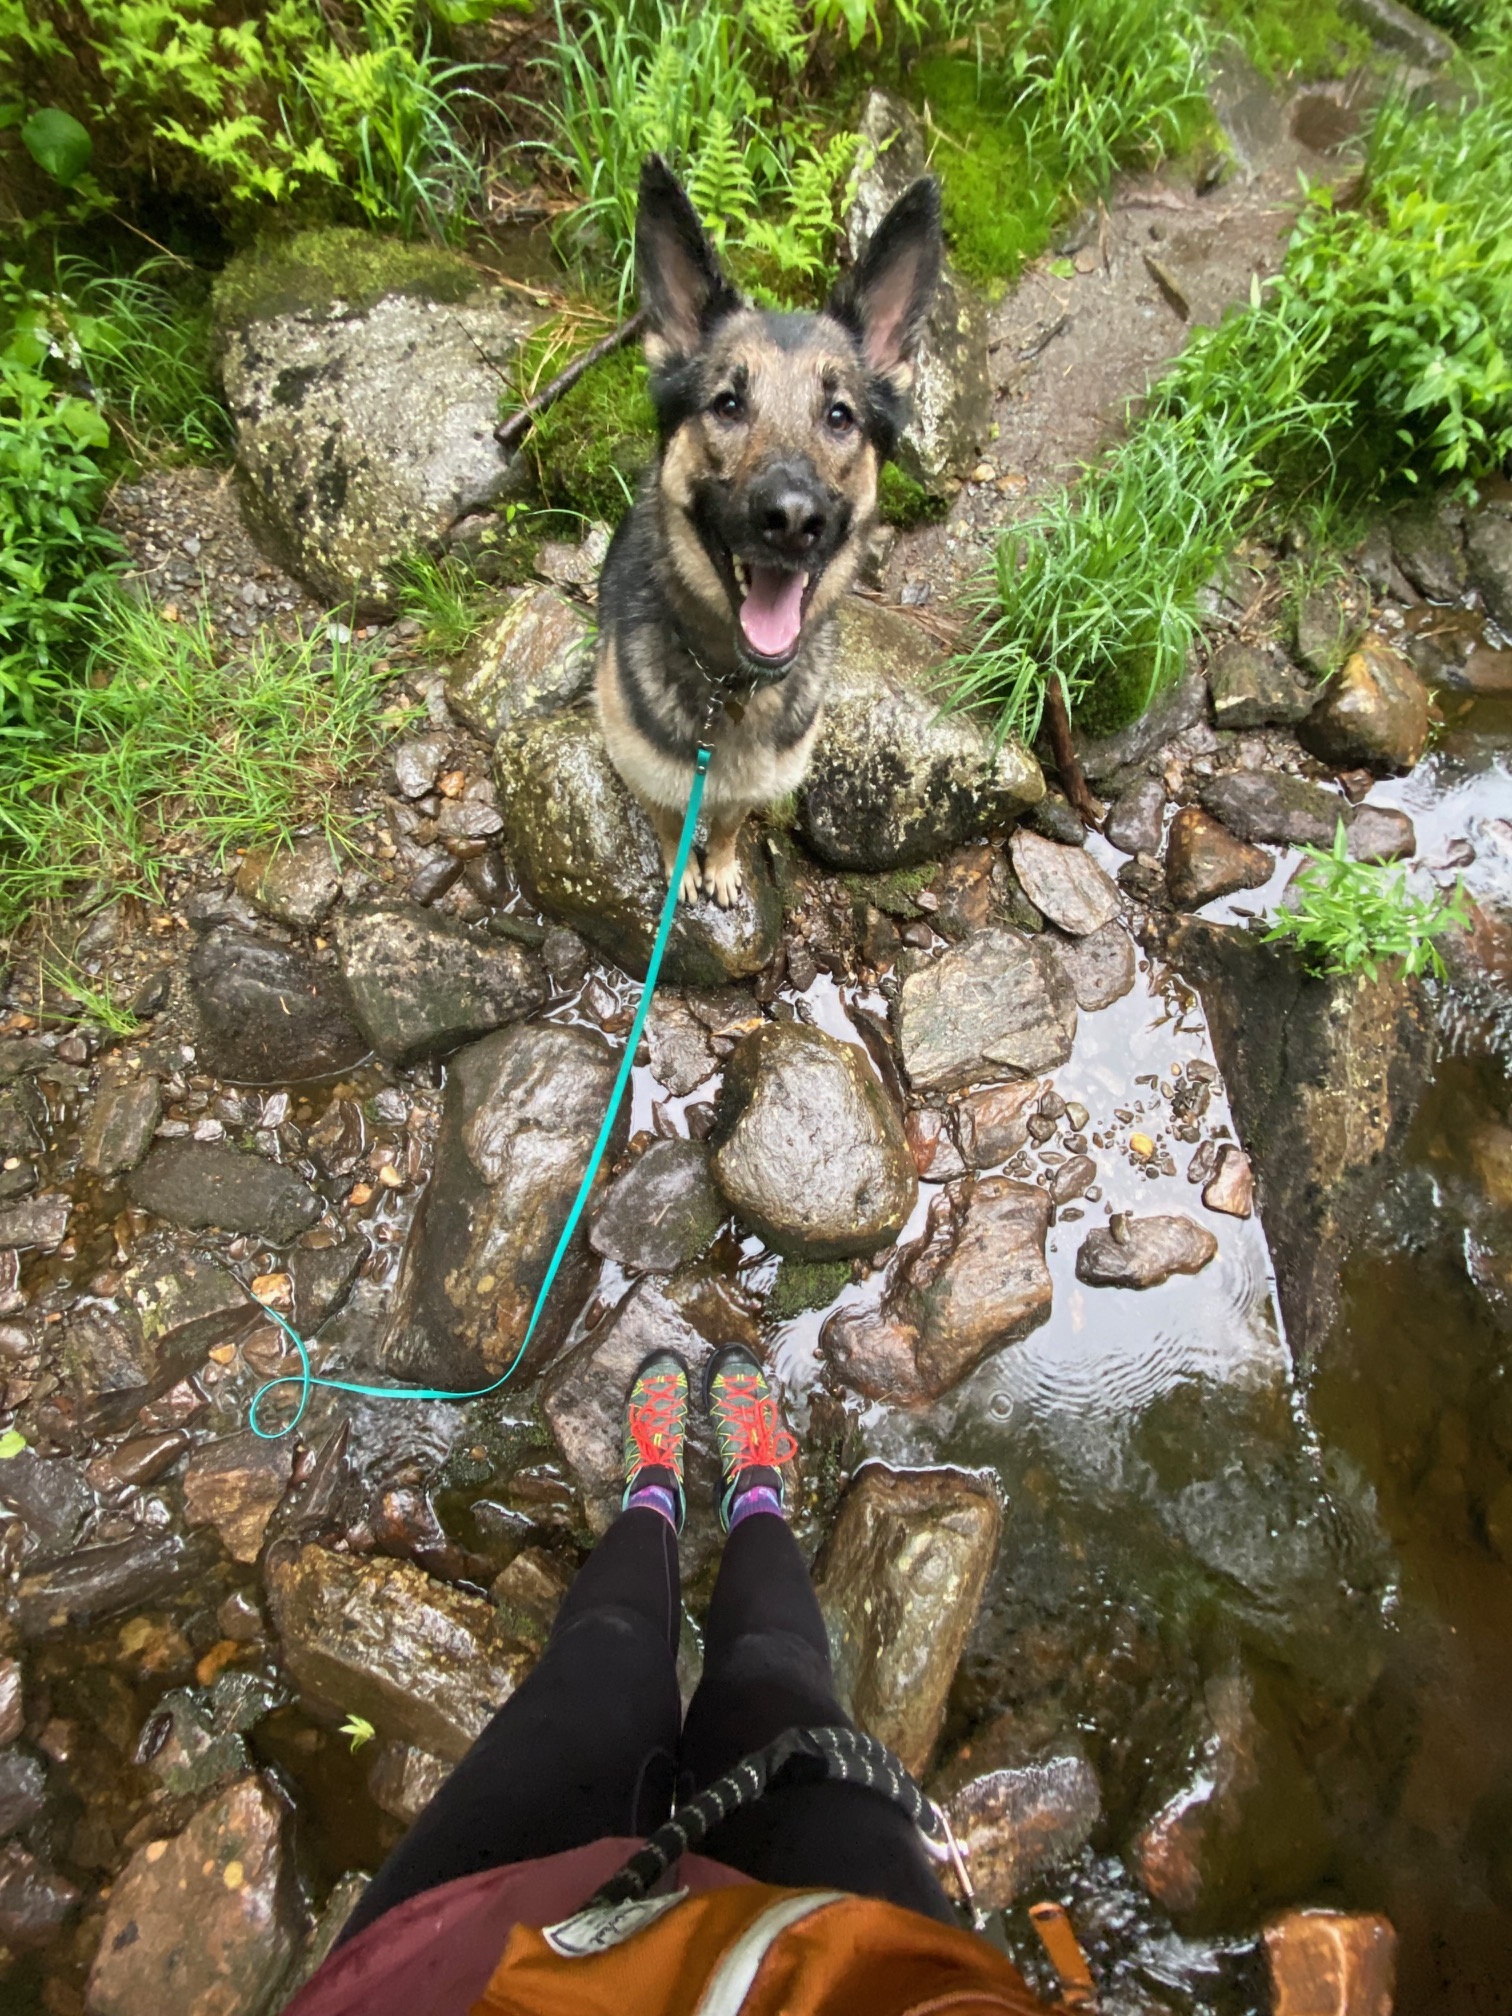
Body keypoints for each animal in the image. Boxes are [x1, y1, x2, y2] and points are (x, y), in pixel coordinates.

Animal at [596, 157, 943, 907]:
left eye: (840, 416)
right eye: (728, 404)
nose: (792, 520)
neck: (727, 688)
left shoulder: (746, 787)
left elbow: (727, 821)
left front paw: (722, 867)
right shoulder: (654, 776)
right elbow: (668, 823)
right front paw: (679, 871)